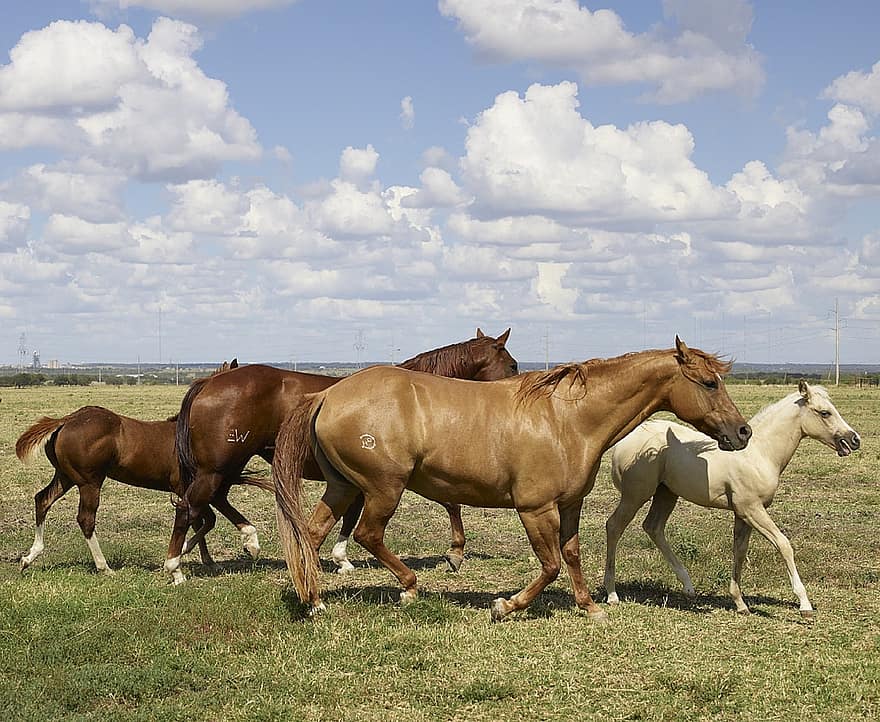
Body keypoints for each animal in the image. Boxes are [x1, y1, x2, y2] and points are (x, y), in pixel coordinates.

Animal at [167, 330, 516, 584]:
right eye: (512, 365)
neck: (414, 394)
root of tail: (209, 381)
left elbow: (347, 516)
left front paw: (338, 558)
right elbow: (451, 503)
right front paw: (455, 552)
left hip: (226, 465)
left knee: (214, 499)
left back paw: (246, 538)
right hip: (217, 466)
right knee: (189, 506)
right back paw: (175, 566)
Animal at [274, 336, 748, 620]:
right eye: (709, 382)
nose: (742, 432)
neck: (568, 419)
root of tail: (328, 394)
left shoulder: (570, 505)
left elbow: (571, 554)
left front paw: (589, 606)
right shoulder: (534, 508)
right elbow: (551, 563)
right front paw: (506, 605)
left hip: (342, 486)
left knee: (312, 533)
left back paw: (314, 600)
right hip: (381, 489)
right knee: (367, 534)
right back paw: (408, 589)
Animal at [604, 380, 860, 616]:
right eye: (824, 412)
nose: (854, 439)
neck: (759, 453)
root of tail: (625, 441)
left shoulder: (742, 513)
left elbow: (739, 551)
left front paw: (740, 604)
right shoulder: (752, 509)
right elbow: (783, 544)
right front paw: (804, 604)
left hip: (667, 494)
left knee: (653, 527)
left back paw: (688, 586)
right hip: (636, 494)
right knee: (614, 526)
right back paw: (612, 594)